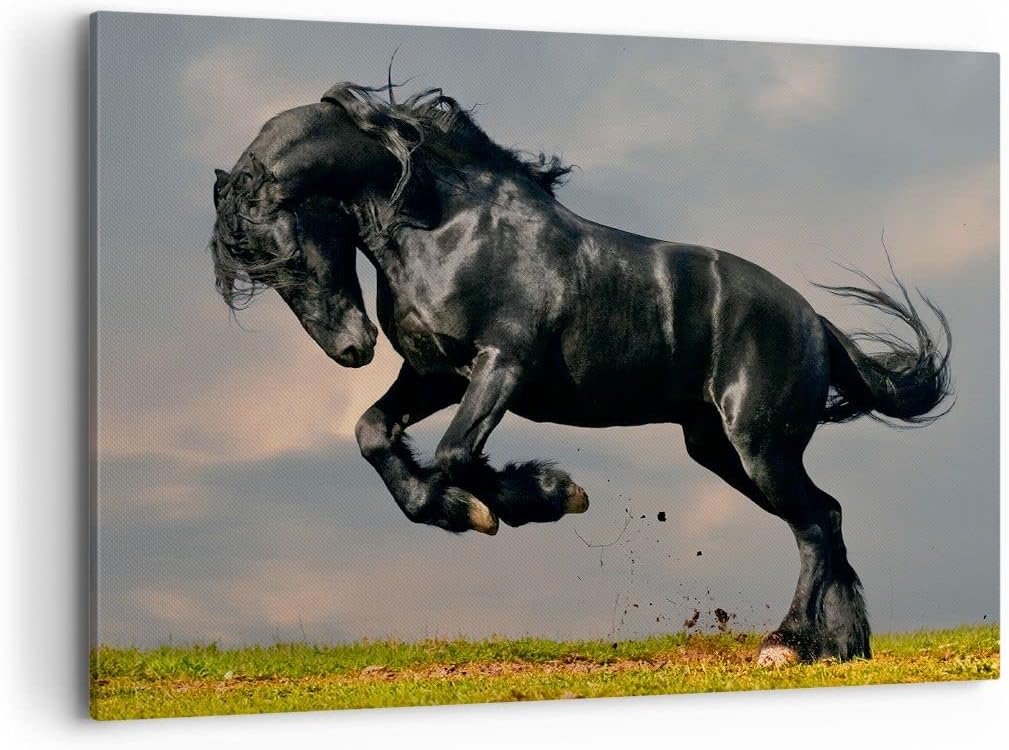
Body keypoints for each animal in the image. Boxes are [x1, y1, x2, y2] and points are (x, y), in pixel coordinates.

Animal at [209, 81, 952, 665]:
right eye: (260, 271)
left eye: (287, 253)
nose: (351, 348)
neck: (448, 228)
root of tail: (814, 323)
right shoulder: (435, 374)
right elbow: (373, 435)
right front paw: (460, 509)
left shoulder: (502, 365)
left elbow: (455, 453)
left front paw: (544, 494)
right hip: (719, 449)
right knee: (824, 519)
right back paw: (840, 646)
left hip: (759, 447)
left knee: (817, 523)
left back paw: (787, 643)